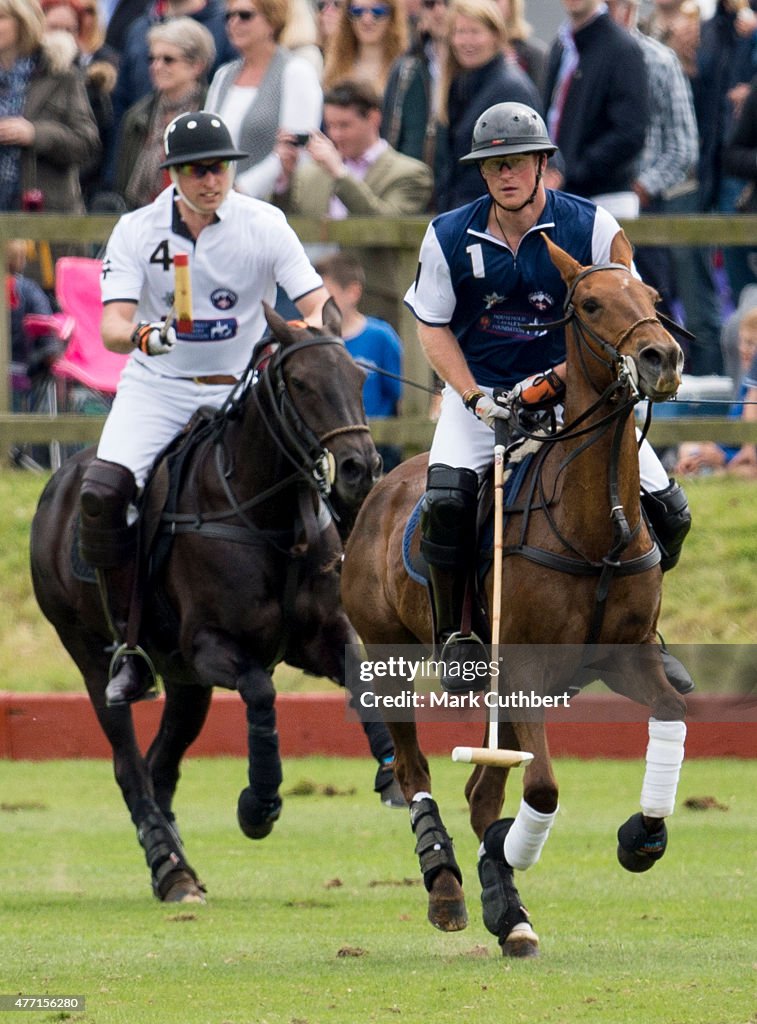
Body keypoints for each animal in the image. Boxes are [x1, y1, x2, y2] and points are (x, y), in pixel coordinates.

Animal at [29, 303, 397, 905]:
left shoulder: (320, 635)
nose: (360, 469)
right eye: (300, 383)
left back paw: (175, 864)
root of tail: (56, 485)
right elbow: (261, 689)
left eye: (359, 378)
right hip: (91, 653)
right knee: (129, 765)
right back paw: (171, 869)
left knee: (159, 764)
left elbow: (362, 681)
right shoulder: (210, 646)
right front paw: (259, 803)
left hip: (185, 683)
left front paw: (392, 775)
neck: (270, 519)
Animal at [344, 234, 692, 958]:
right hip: (389, 655)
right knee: (418, 773)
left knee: (480, 788)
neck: (598, 526)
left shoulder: (626, 657)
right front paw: (513, 853)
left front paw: (640, 838)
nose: (662, 358)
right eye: (590, 304)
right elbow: (544, 786)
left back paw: (508, 913)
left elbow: (670, 712)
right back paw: (450, 889)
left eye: (650, 297)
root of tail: (382, 485)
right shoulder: (526, 666)